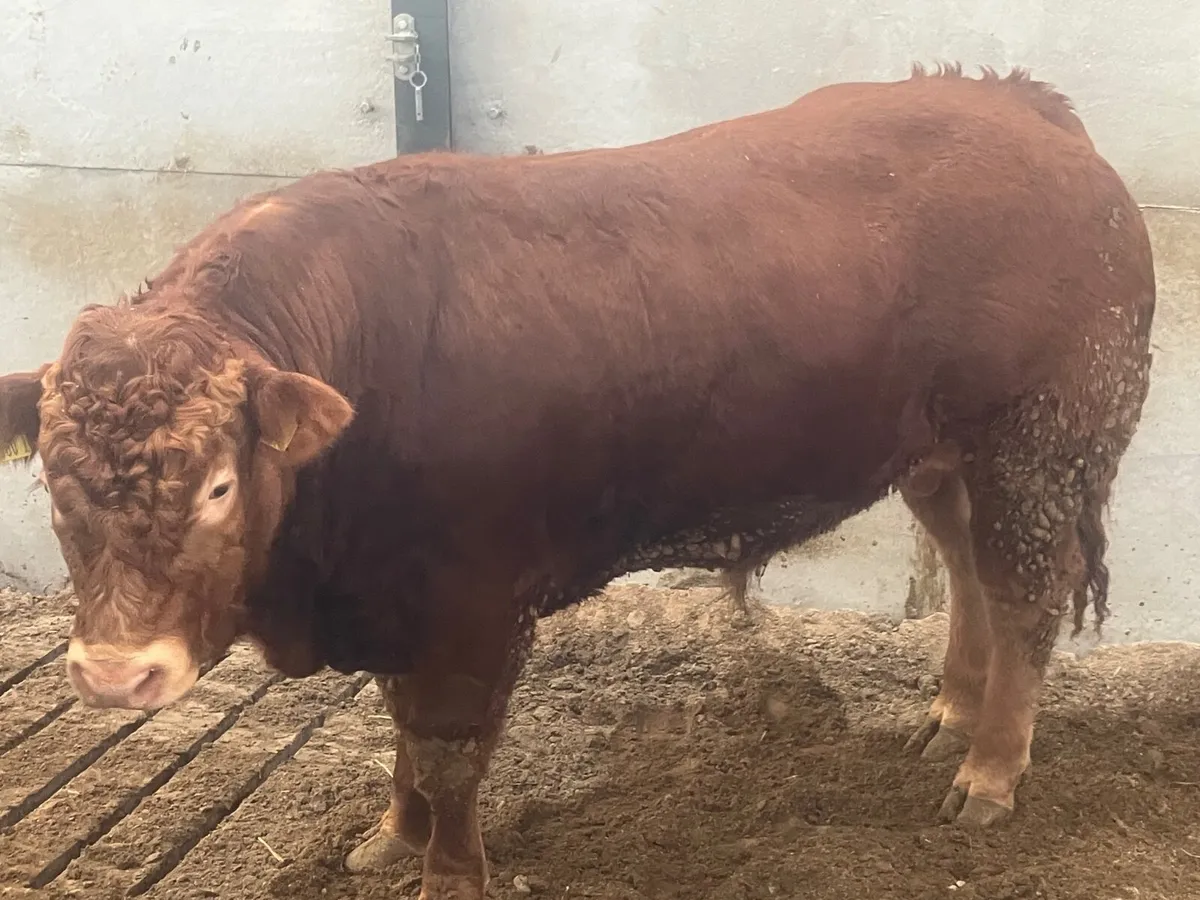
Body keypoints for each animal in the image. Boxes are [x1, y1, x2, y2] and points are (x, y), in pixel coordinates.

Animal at [0, 63, 1154, 899]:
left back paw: (990, 772)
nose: (116, 675)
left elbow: (448, 752)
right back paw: (949, 713)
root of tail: (1022, 106)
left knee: (1025, 595)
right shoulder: (397, 603)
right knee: (965, 565)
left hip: (1039, 443)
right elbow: (402, 735)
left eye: (217, 489)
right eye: (53, 480)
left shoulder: (469, 611)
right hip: (942, 454)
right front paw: (389, 837)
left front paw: (449, 872)